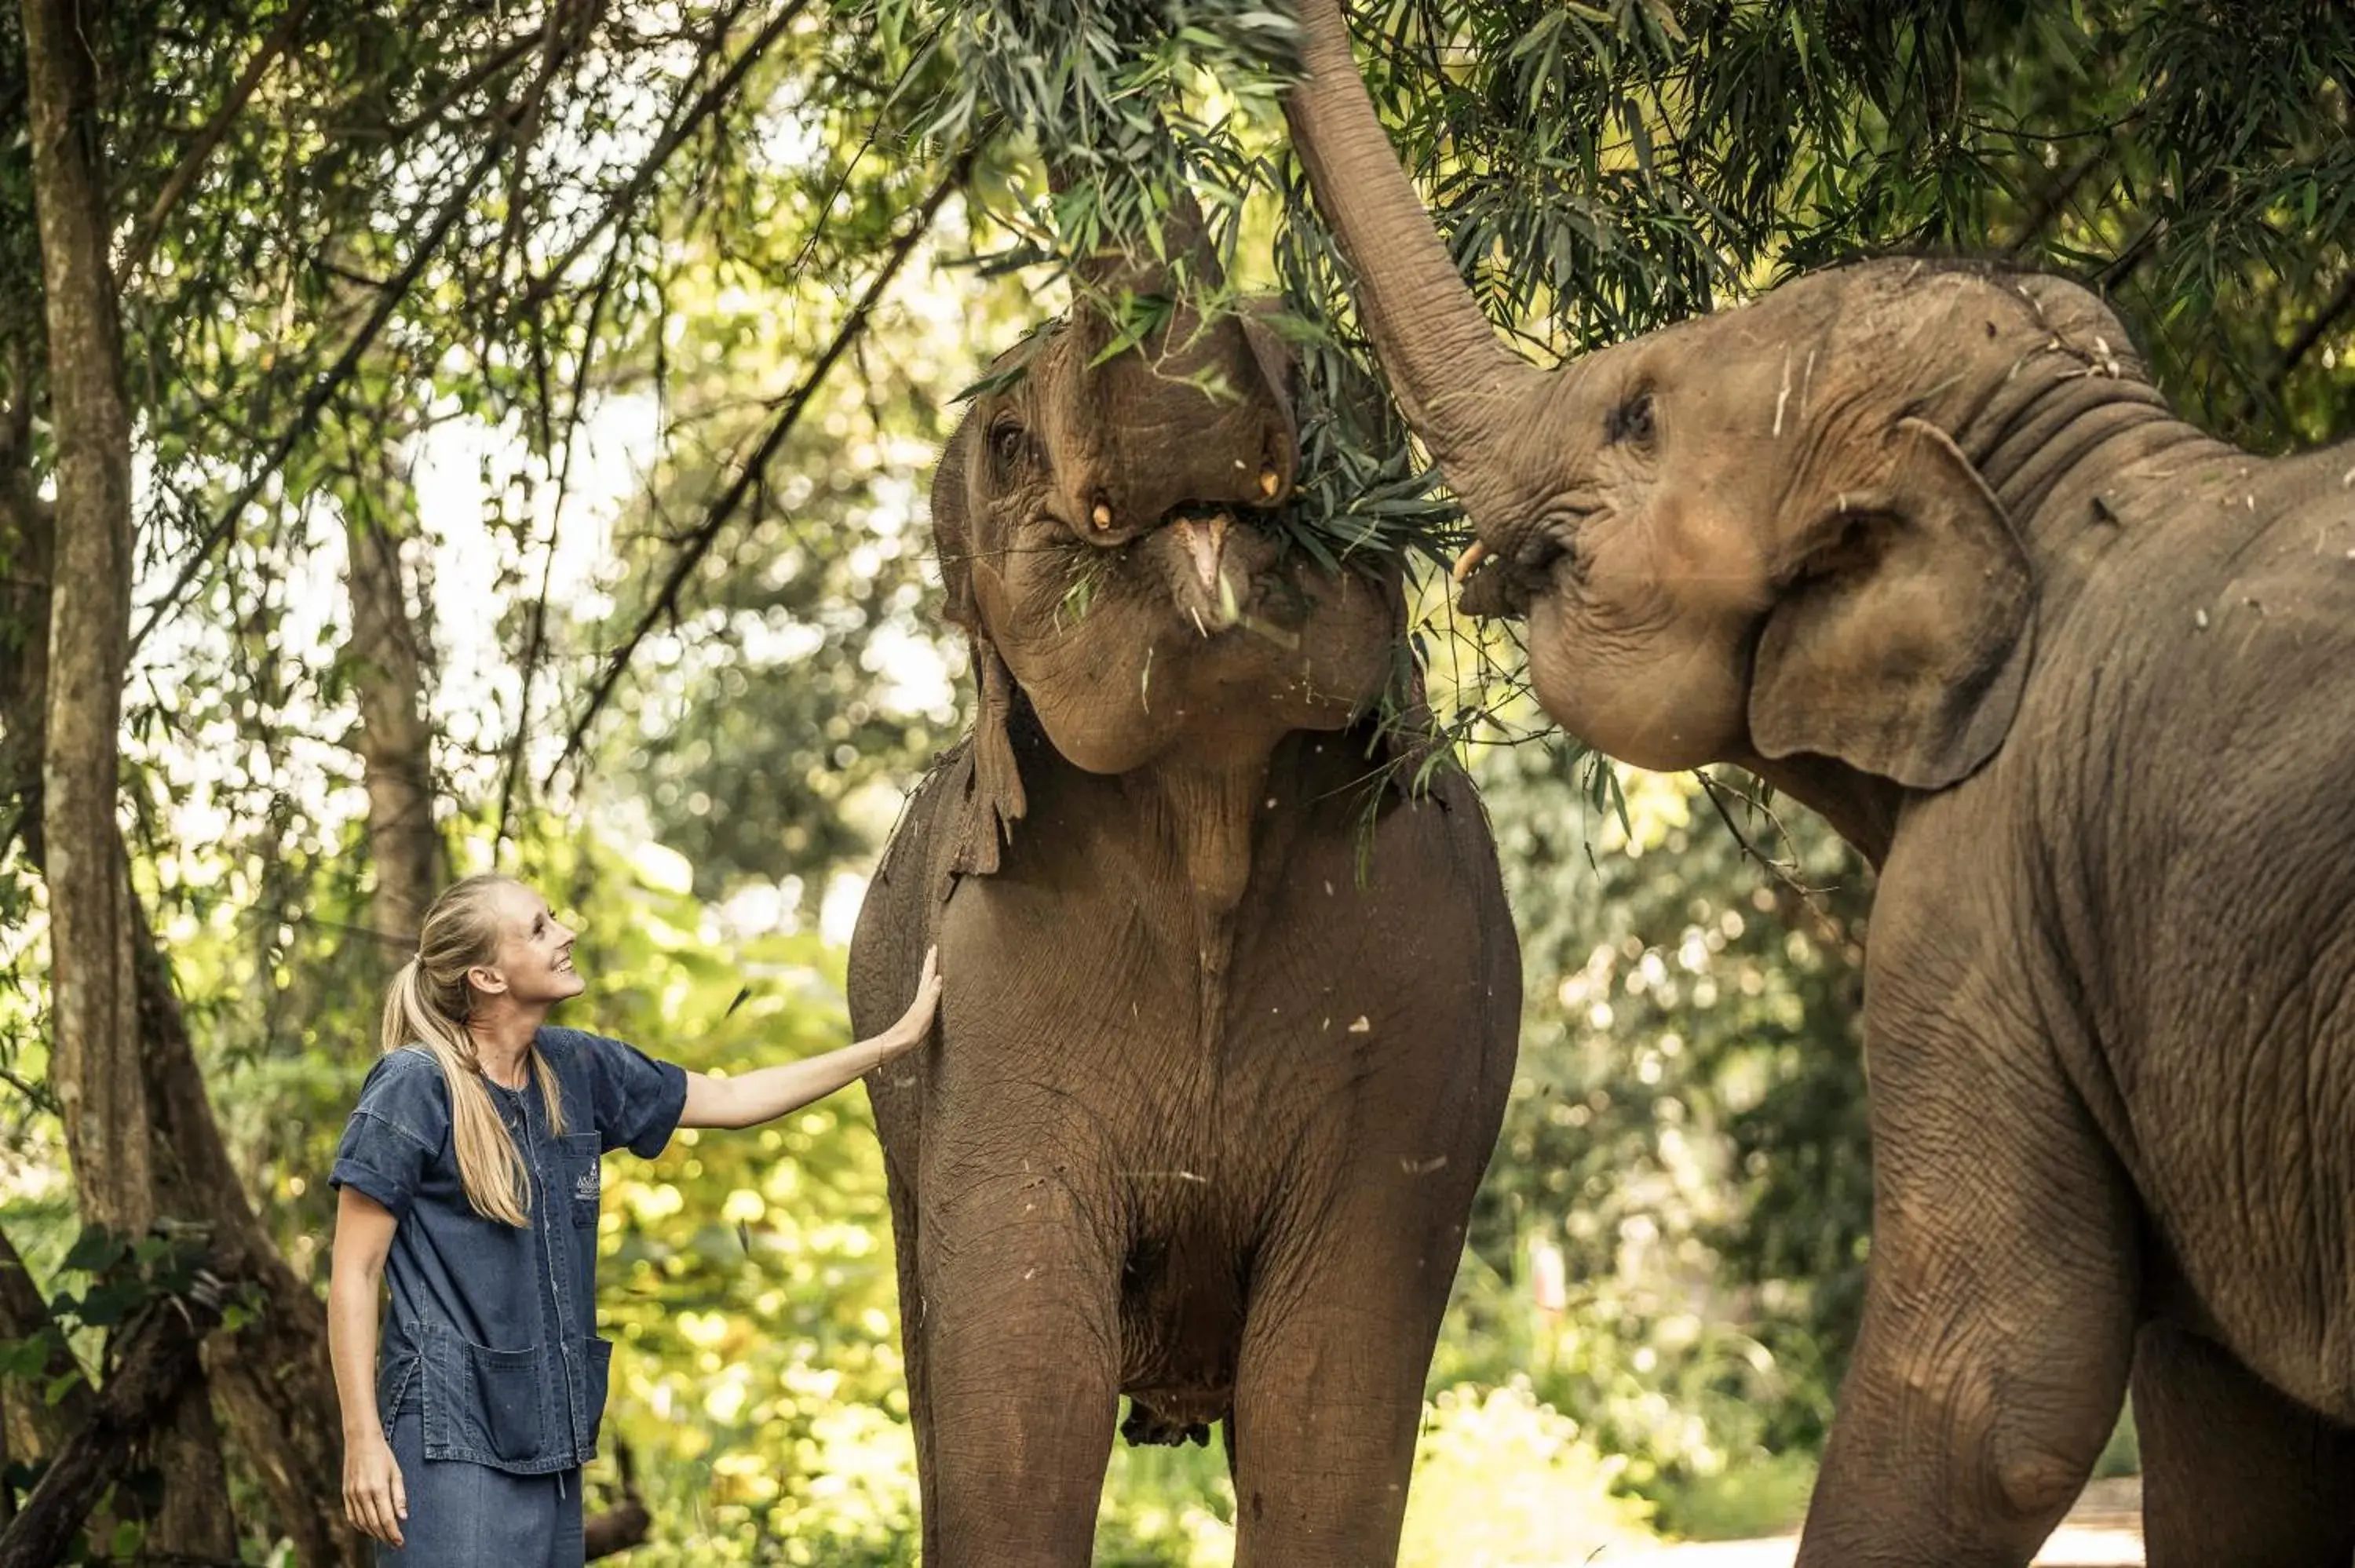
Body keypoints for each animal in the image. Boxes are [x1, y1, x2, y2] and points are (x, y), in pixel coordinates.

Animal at [848, 220, 1526, 1563]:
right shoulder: (982, 1005)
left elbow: (1325, 1392)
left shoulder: (1433, 1002)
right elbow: (1025, 1387)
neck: (1211, 799)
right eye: (1009, 442)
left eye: (1334, 384)